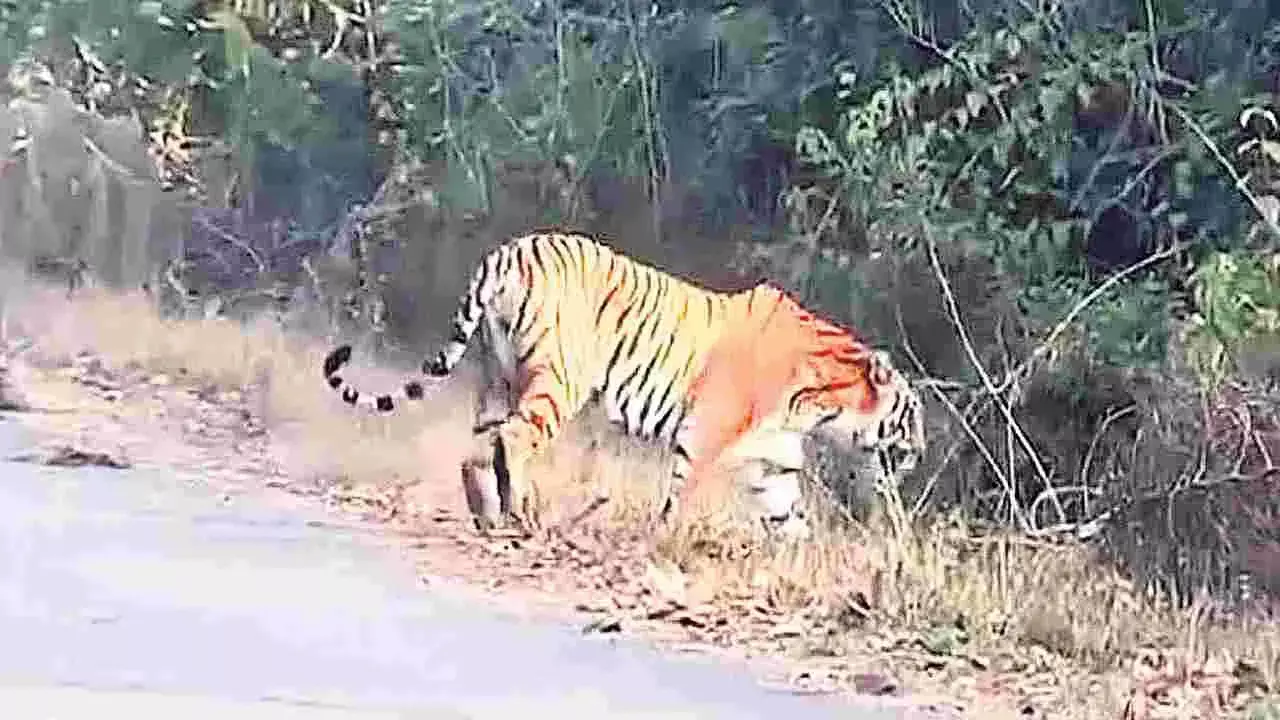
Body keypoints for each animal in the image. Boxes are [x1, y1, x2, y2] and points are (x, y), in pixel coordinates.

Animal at [318, 228, 921, 532]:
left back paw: (488, 516)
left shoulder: (773, 463)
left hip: (498, 377)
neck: (821, 407)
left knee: (478, 446)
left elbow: (790, 522)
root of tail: (508, 252)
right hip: (559, 380)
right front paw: (664, 545)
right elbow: (680, 497)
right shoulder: (704, 438)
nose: (917, 454)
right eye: (910, 418)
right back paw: (518, 513)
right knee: (513, 439)